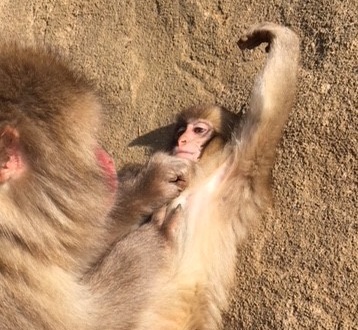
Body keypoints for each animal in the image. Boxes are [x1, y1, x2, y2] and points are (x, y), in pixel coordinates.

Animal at [136, 21, 300, 328]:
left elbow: (266, 119)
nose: (182, 141)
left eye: (198, 130)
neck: (201, 179)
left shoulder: (235, 174)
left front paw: (279, 37)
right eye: (182, 130)